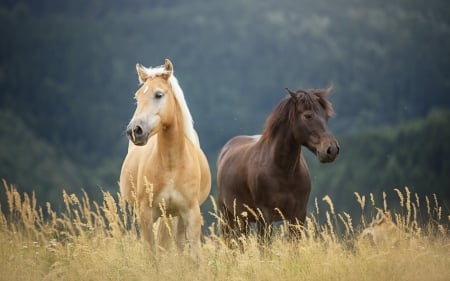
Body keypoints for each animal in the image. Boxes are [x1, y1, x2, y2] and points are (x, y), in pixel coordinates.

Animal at [119, 57, 211, 256]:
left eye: (159, 94)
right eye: (137, 97)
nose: (135, 130)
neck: (171, 165)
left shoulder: (191, 214)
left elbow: (195, 255)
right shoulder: (146, 214)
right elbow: (152, 254)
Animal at [216, 86, 340, 242]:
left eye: (326, 117)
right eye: (308, 116)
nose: (332, 150)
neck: (284, 171)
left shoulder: (298, 216)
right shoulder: (265, 216)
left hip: (243, 218)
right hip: (228, 216)